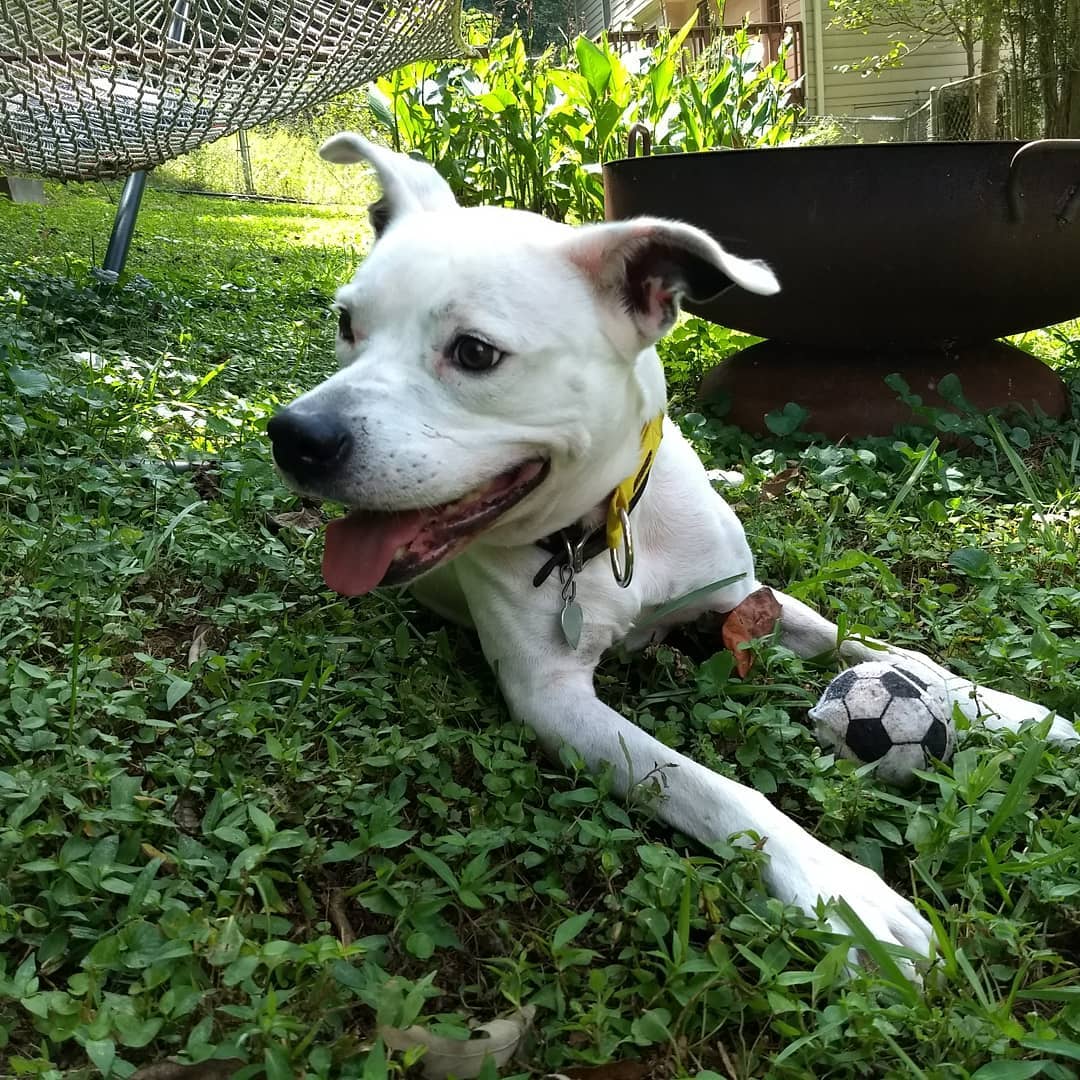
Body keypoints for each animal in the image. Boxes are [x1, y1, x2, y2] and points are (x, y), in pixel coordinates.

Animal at [267, 132, 1071, 972]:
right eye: (346, 323)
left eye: (476, 352)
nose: (294, 437)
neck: (608, 532)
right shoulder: (553, 700)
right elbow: (704, 784)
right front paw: (839, 889)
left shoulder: (746, 596)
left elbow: (877, 648)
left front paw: (1001, 706)